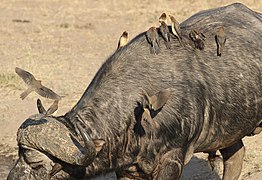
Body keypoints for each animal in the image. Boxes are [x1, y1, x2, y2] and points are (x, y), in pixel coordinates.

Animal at [7, 2, 260, 180]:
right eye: (18, 154)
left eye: (36, 163)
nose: (11, 178)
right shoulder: (127, 168)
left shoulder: (172, 160)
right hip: (229, 130)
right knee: (235, 155)